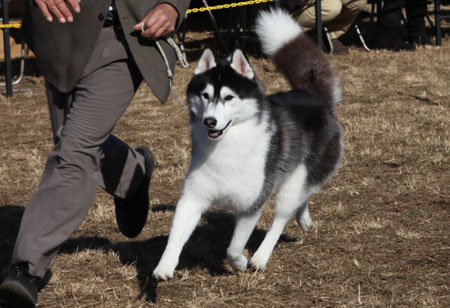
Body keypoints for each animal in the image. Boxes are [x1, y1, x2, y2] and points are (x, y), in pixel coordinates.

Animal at [153, 9, 342, 282]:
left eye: (229, 97)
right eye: (205, 96)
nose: (210, 121)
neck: (227, 146)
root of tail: (313, 96)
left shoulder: (251, 204)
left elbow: (233, 248)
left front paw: (240, 263)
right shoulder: (193, 197)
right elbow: (175, 236)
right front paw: (164, 266)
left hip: (294, 184)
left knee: (282, 216)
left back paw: (261, 257)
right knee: (302, 197)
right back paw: (303, 219)